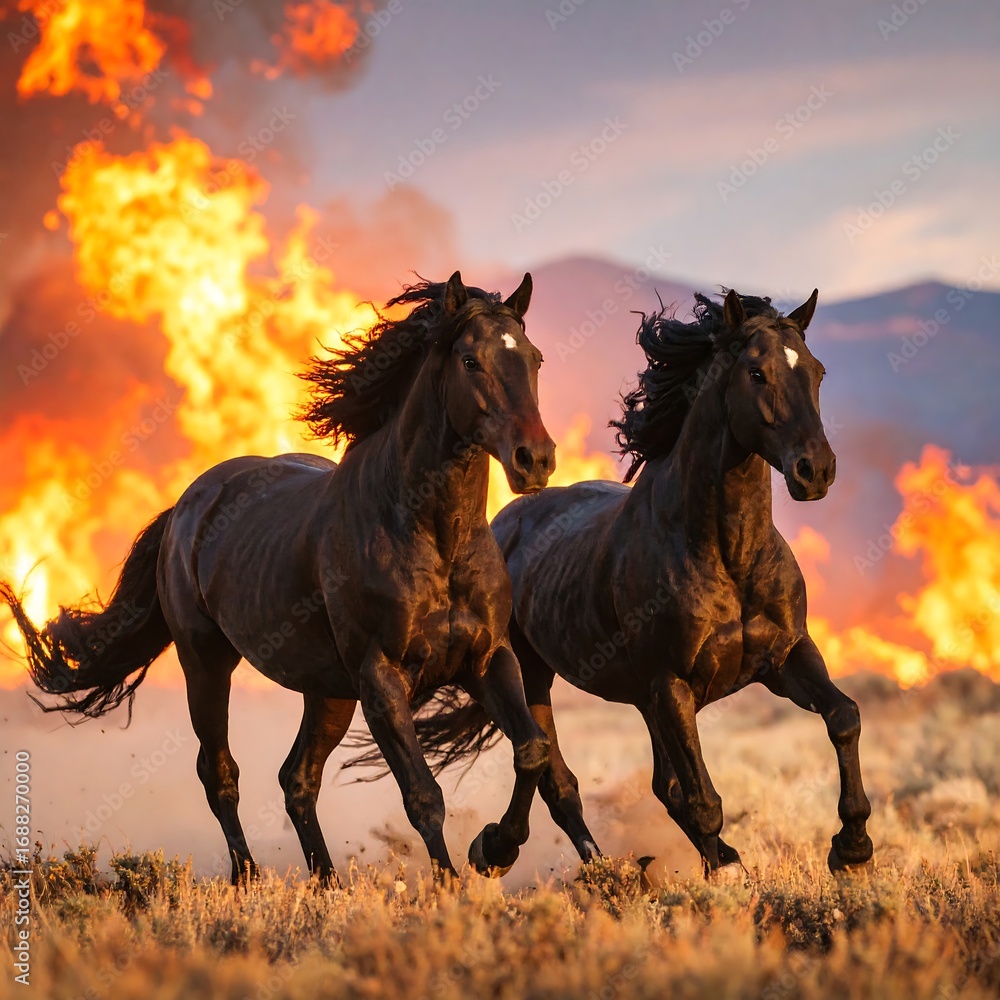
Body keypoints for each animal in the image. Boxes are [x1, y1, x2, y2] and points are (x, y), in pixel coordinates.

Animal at [1, 271, 559, 884]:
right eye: (469, 359)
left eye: (533, 358)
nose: (535, 459)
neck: (432, 538)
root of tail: (187, 506)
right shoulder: (381, 679)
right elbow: (423, 795)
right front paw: (453, 884)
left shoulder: (487, 660)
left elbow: (532, 752)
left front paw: (494, 849)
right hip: (207, 665)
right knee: (220, 772)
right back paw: (248, 876)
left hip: (327, 690)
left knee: (297, 780)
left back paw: (329, 885)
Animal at [416, 288, 874, 878]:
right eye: (756, 371)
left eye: (816, 371)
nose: (814, 470)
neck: (727, 553)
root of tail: (505, 523)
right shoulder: (670, 683)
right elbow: (704, 799)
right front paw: (725, 876)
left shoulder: (786, 657)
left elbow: (843, 716)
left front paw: (852, 848)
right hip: (534, 673)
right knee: (558, 779)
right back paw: (525, 855)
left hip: (639, 699)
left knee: (657, 783)